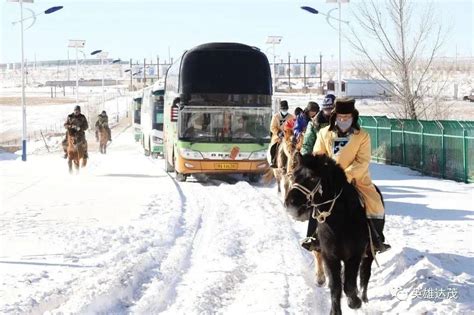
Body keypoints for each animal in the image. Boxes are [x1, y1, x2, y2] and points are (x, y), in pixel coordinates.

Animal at [284, 153, 376, 315]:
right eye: (293, 175)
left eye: (313, 177)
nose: (291, 204)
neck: (340, 221)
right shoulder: (330, 255)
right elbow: (336, 286)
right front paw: (335, 310)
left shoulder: (354, 255)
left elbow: (349, 285)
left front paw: (355, 302)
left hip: (369, 253)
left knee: (365, 273)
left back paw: (363, 297)